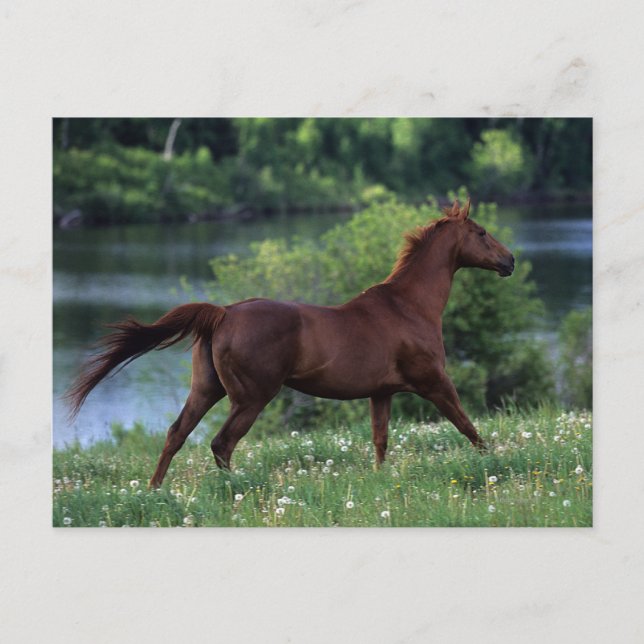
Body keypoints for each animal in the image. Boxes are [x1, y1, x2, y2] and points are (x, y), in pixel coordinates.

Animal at [66, 198, 515, 488]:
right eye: (481, 232)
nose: (509, 261)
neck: (409, 307)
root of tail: (224, 312)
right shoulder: (434, 381)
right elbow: (468, 426)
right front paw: (495, 465)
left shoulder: (381, 393)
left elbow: (380, 441)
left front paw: (380, 480)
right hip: (252, 397)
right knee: (221, 443)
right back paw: (237, 490)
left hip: (207, 389)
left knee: (177, 434)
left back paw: (155, 490)